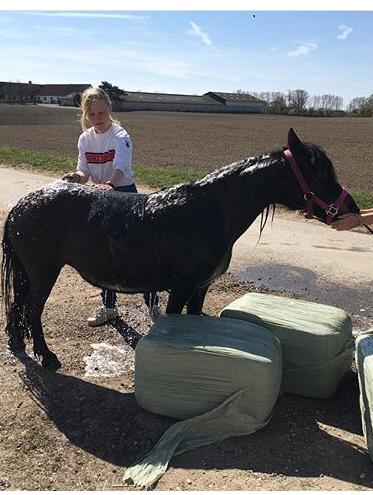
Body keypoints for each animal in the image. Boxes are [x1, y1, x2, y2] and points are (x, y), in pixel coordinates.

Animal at [1, 130, 358, 370]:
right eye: (321, 173)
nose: (351, 209)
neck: (208, 213)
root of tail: (20, 206)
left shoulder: (200, 288)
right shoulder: (182, 288)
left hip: (29, 273)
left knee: (16, 307)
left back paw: (17, 344)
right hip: (43, 272)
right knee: (31, 310)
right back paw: (47, 357)